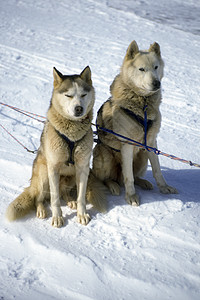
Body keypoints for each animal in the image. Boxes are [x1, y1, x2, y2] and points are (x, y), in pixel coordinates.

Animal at [5, 66, 106, 227]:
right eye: (68, 95)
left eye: (83, 95)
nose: (79, 108)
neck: (72, 134)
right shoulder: (52, 168)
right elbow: (55, 199)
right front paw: (57, 217)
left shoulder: (82, 167)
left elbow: (81, 197)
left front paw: (81, 214)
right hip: (43, 174)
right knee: (39, 198)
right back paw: (41, 209)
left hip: (71, 175)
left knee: (64, 192)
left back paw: (70, 201)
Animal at [92, 40, 178, 206]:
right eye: (142, 69)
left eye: (156, 67)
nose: (156, 83)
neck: (143, 103)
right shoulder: (127, 144)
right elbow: (128, 177)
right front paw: (131, 196)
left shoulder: (151, 142)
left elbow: (157, 170)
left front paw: (164, 187)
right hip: (105, 155)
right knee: (106, 178)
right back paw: (113, 185)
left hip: (142, 156)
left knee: (135, 175)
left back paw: (143, 182)